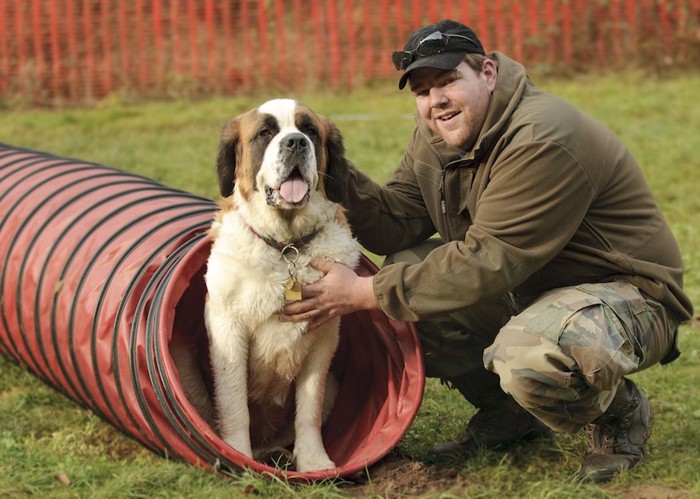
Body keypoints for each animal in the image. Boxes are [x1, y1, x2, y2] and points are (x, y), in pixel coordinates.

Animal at [200, 98, 358, 472]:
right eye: (265, 133)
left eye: (310, 130)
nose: (296, 142)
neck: (286, 246)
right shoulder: (227, 329)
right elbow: (234, 403)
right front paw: (236, 455)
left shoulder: (323, 339)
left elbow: (309, 407)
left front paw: (315, 462)